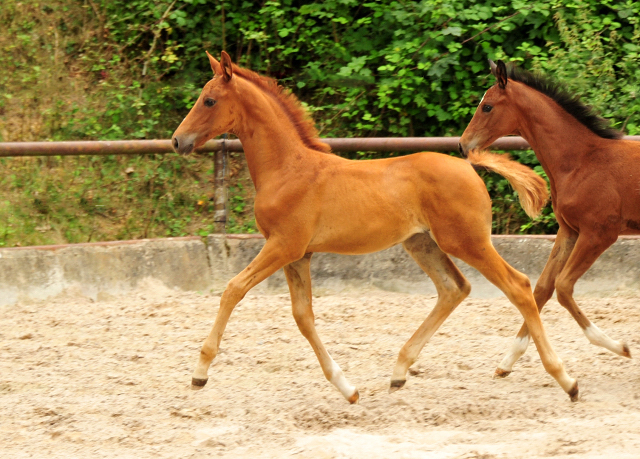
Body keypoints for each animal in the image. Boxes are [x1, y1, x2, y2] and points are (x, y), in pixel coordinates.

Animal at [172, 51, 576, 402]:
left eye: (209, 100)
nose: (178, 140)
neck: (288, 168)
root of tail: (469, 166)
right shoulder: (298, 255)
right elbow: (303, 317)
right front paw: (347, 388)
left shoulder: (283, 246)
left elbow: (232, 289)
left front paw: (199, 373)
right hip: (422, 243)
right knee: (454, 289)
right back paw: (399, 371)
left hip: (467, 242)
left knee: (518, 286)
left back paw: (565, 379)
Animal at [460, 59, 636, 380]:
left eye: (487, 106)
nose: (462, 145)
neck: (580, 162)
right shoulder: (569, 231)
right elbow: (542, 288)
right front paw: (507, 362)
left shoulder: (599, 233)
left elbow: (563, 287)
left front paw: (619, 347)